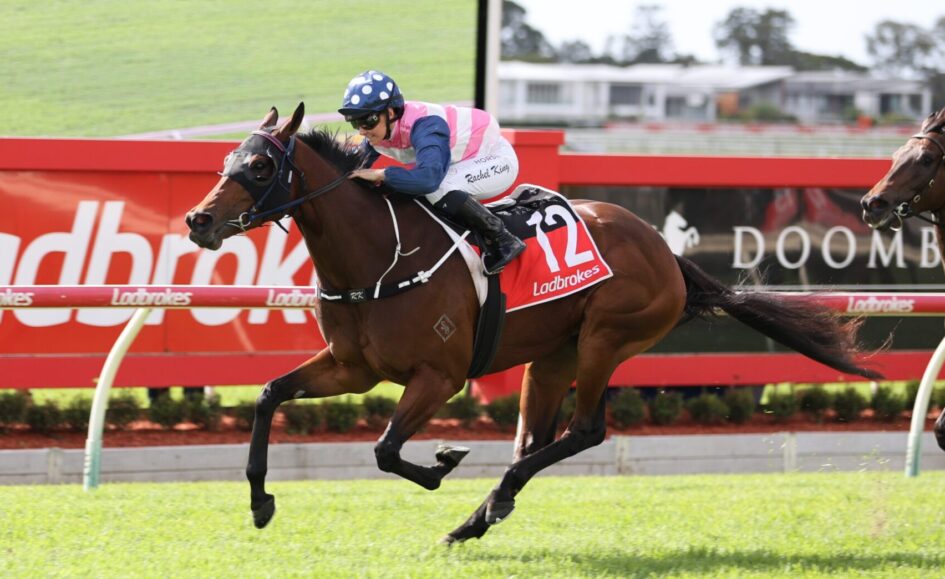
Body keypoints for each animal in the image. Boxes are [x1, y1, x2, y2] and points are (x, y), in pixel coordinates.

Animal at [186, 103, 881, 544]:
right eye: (227, 159)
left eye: (260, 167)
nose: (198, 220)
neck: (379, 253)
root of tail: (666, 251)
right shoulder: (352, 368)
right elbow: (269, 395)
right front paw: (260, 501)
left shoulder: (439, 376)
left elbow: (385, 449)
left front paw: (440, 462)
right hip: (552, 357)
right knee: (534, 439)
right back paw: (484, 511)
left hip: (606, 338)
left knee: (585, 430)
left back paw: (490, 501)